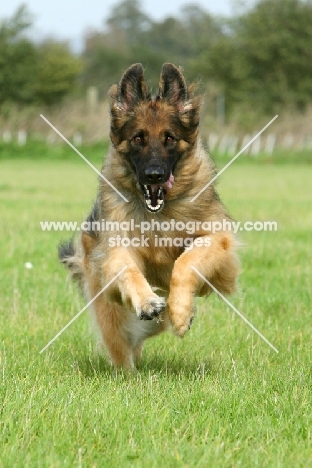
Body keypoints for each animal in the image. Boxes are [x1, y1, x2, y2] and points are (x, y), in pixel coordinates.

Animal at [58, 63, 239, 370]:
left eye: (169, 138)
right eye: (138, 138)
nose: (154, 175)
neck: (158, 213)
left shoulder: (221, 246)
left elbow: (186, 261)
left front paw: (181, 312)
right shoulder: (116, 249)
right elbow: (127, 269)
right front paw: (147, 301)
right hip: (112, 317)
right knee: (124, 349)